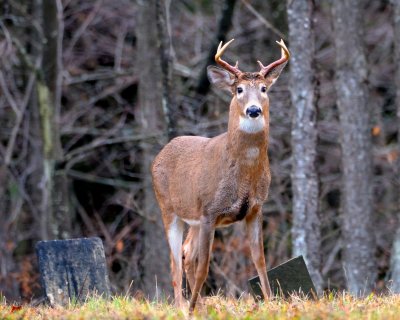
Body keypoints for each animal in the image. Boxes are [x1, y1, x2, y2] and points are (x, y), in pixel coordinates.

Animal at [152, 38, 290, 312]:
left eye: (264, 88)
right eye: (238, 89)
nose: (254, 110)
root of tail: (160, 153)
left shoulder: (255, 208)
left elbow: (260, 260)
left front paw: (270, 303)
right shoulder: (210, 211)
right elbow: (205, 266)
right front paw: (191, 310)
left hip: (193, 218)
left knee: (187, 253)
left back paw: (200, 305)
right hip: (168, 208)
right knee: (175, 261)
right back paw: (182, 306)